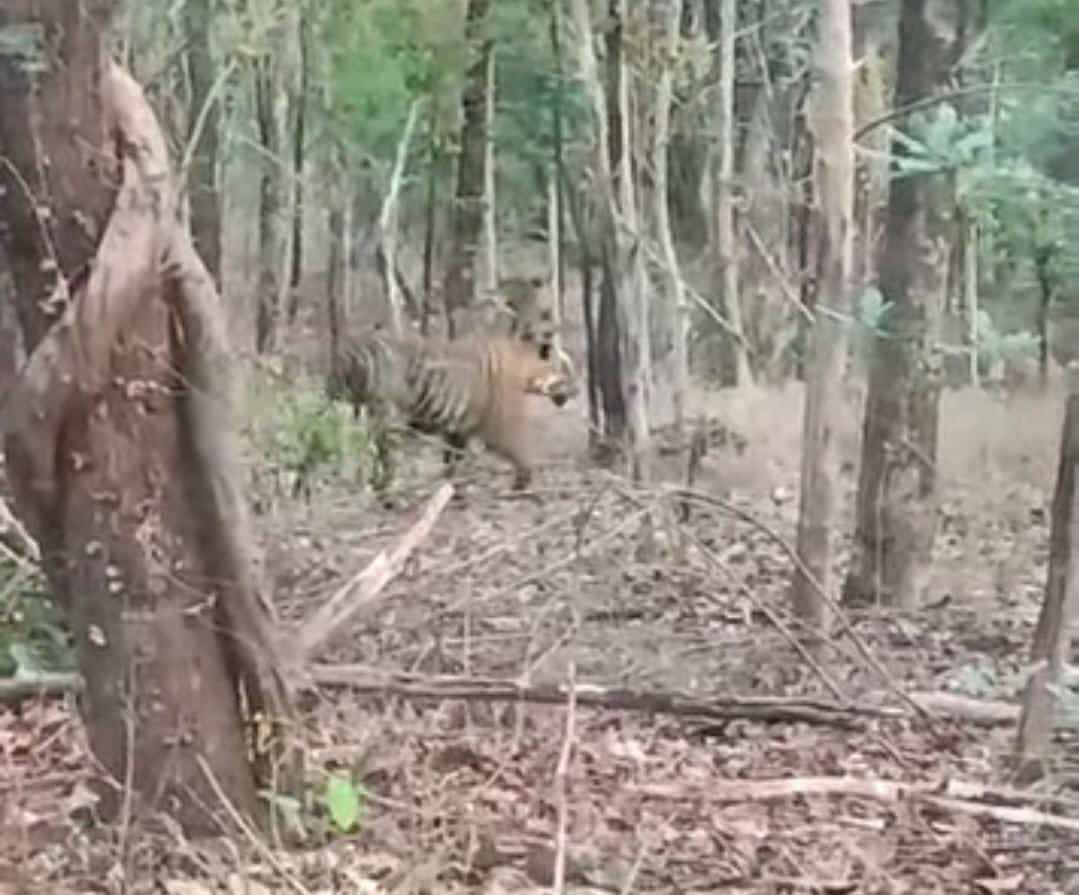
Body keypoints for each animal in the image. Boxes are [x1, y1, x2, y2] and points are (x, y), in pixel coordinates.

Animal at [326, 327, 578, 493]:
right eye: (567, 369)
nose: (578, 390)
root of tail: (349, 351)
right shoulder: (499, 424)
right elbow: (519, 448)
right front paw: (523, 480)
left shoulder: (458, 427)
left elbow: (452, 459)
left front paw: (452, 487)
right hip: (389, 415)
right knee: (384, 453)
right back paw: (389, 492)